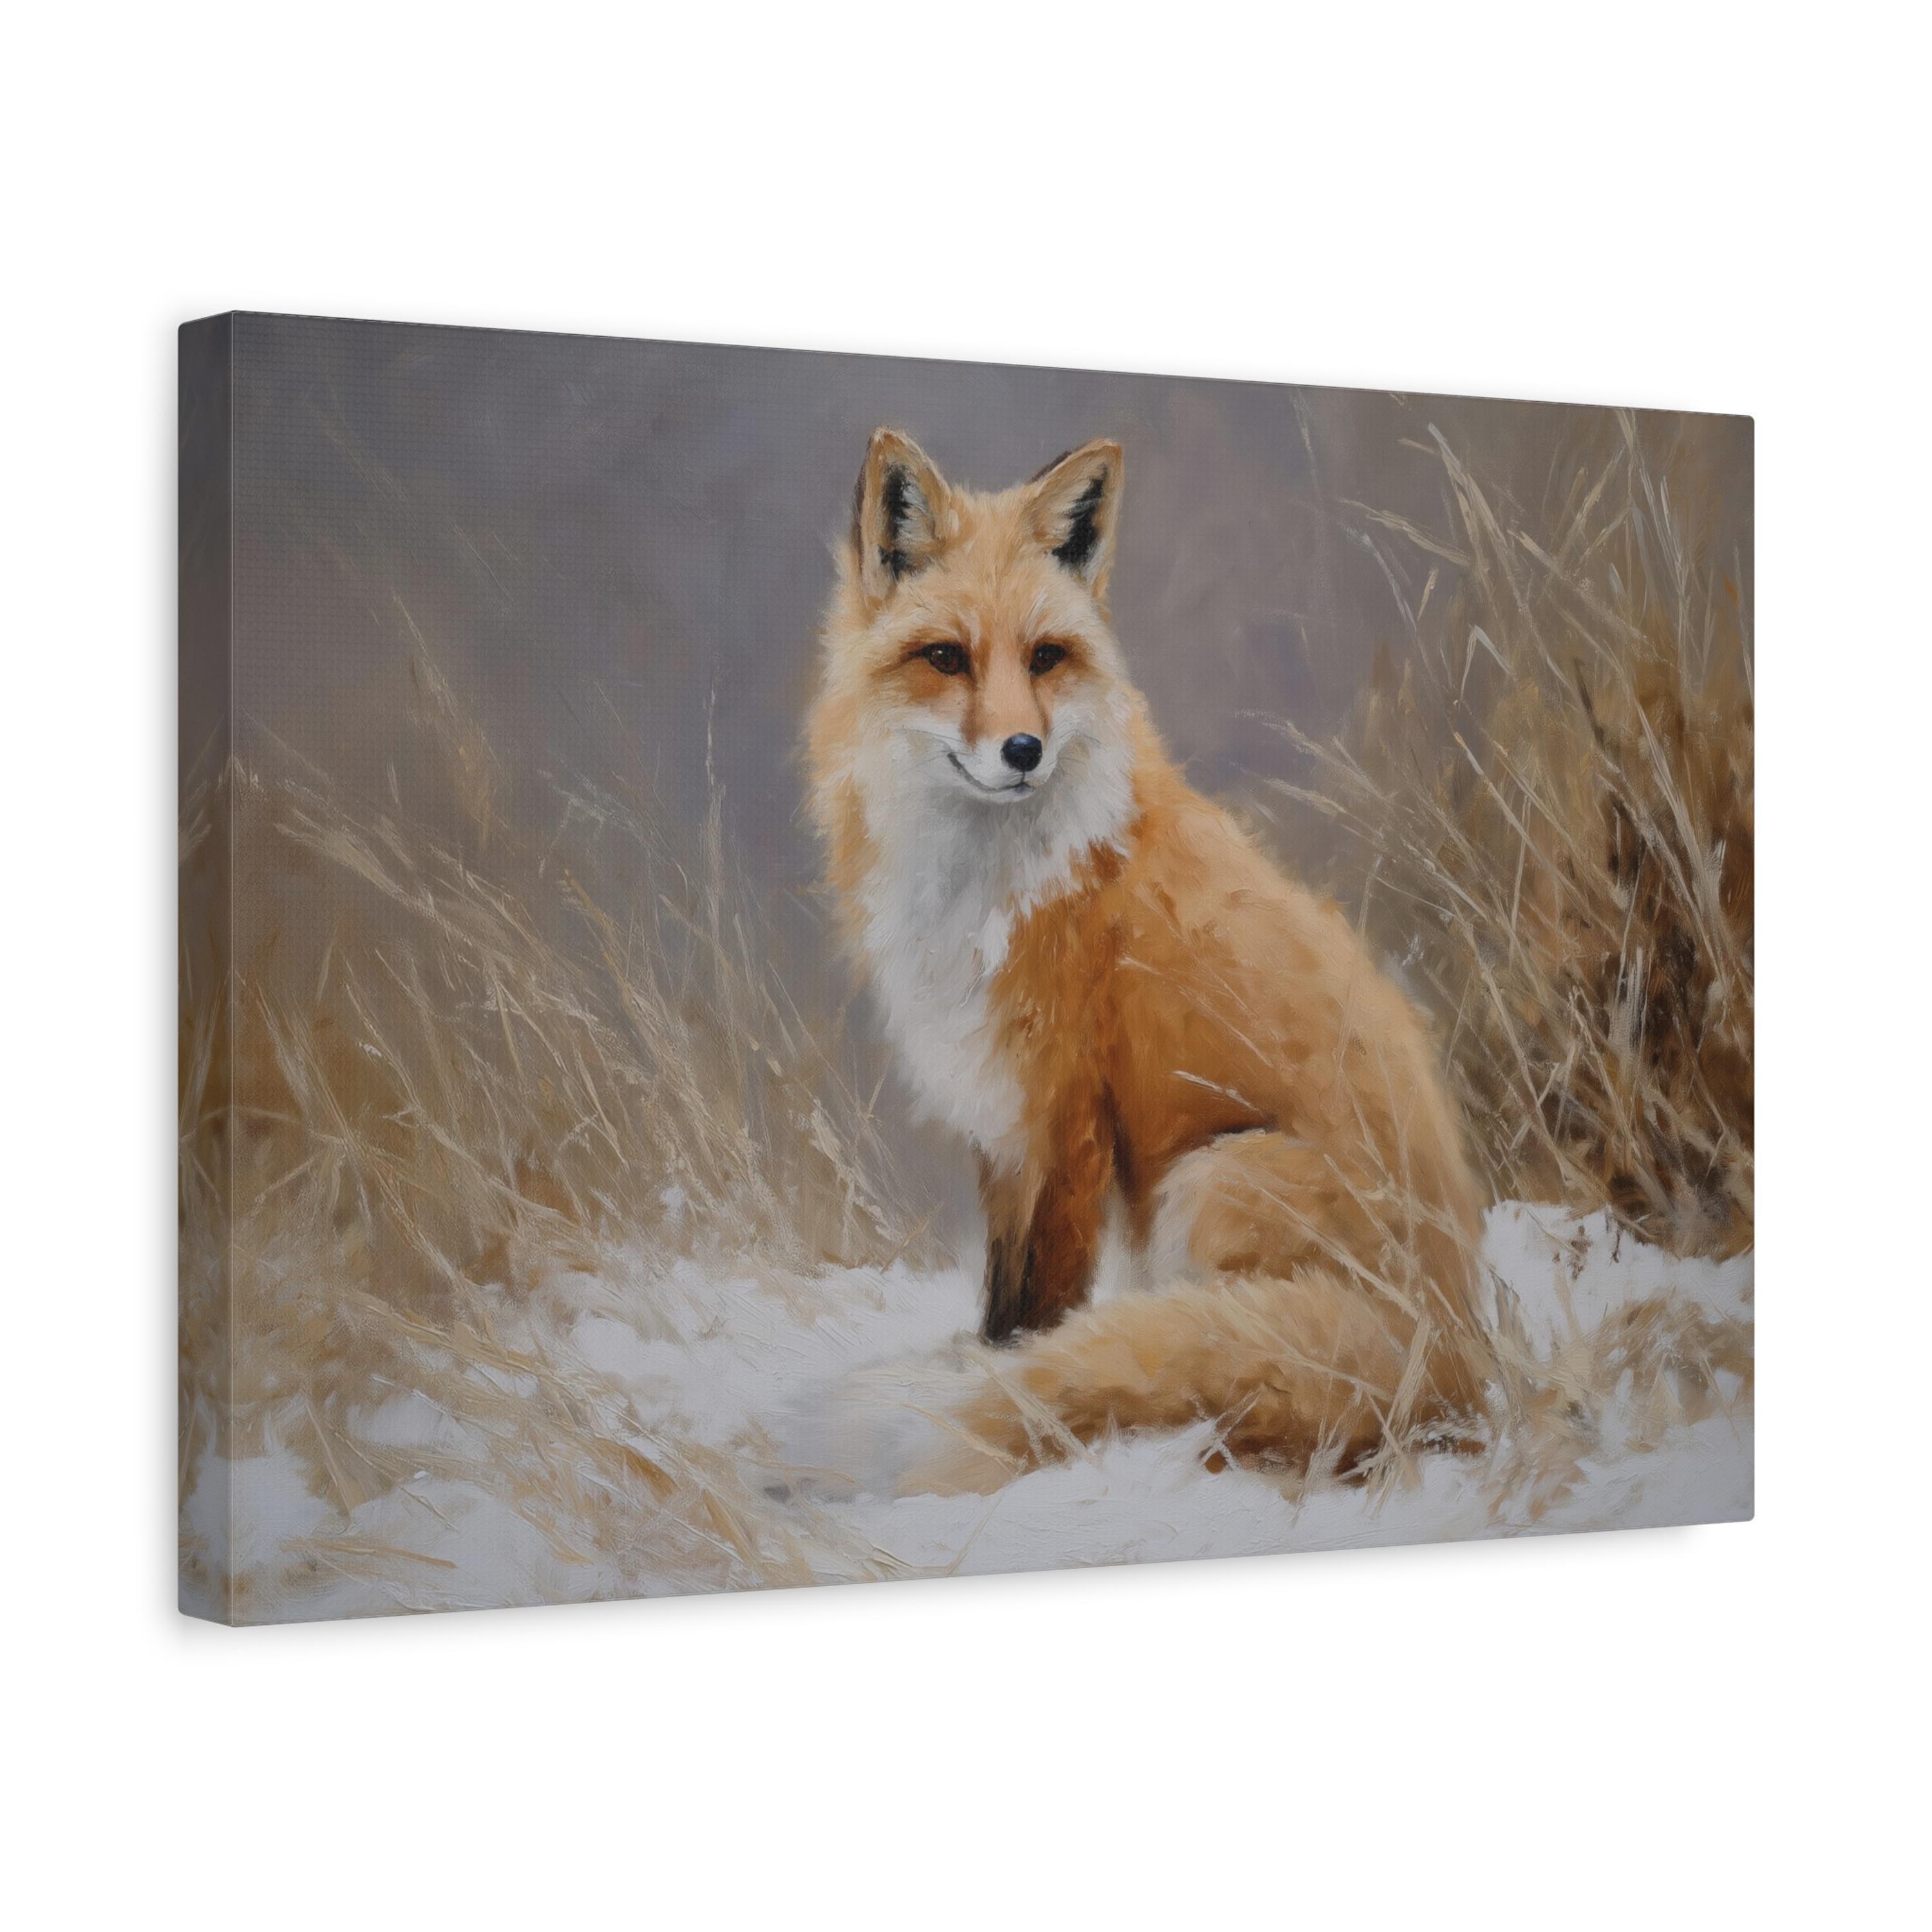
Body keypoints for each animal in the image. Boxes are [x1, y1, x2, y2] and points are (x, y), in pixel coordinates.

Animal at [807, 427, 1493, 1491]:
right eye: (947, 659)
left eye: (1047, 658)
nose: (1022, 750)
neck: (985, 882)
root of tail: (1461, 1346)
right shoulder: (999, 1114)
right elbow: (1002, 1293)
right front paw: (984, 1366)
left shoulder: (1066, 1113)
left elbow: (1042, 1305)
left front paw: (1007, 1391)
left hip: (1209, 1182)